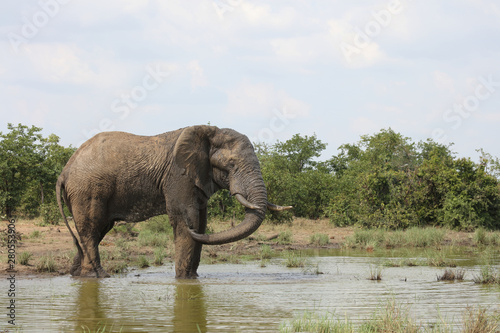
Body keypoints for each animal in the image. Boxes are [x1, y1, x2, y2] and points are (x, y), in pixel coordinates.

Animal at [55, 125, 292, 278]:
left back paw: (78, 275)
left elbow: (201, 223)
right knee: (91, 228)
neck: (208, 132)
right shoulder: (178, 175)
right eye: (231, 164)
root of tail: (64, 172)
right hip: (88, 189)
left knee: (98, 230)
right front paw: (184, 280)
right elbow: (187, 218)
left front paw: (193, 279)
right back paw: (99, 276)